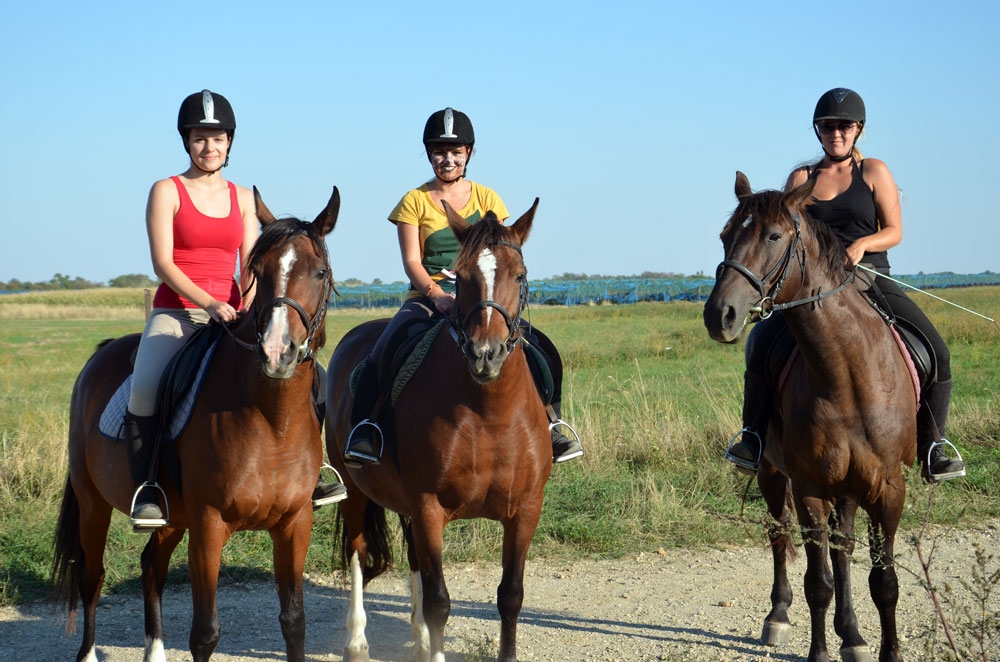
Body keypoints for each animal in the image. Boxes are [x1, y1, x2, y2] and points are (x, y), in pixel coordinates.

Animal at [52, 187, 342, 662]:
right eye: (258, 271)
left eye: (319, 272)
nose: (276, 352)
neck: (272, 420)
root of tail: (100, 355)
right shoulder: (209, 526)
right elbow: (205, 632)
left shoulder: (294, 523)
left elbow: (294, 622)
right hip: (94, 504)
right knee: (91, 577)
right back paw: (89, 652)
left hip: (172, 516)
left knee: (151, 566)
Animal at [324, 198, 552, 662]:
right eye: (460, 278)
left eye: (518, 275)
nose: (486, 354)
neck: (490, 413)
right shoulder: (430, 507)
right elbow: (440, 601)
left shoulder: (525, 509)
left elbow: (511, 595)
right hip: (355, 491)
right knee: (357, 552)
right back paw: (357, 641)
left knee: (413, 559)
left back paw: (419, 637)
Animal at [704, 172, 916, 662]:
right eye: (725, 236)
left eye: (773, 236)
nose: (719, 315)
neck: (847, 374)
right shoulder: (809, 488)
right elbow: (817, 582)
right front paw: (818, 650)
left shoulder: (887, 489)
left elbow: (885, 581)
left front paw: (880, 648)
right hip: (771, 472)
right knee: (780, 536)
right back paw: (778, 617)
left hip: (851, 488)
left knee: (843, 547)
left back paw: (852, 635)